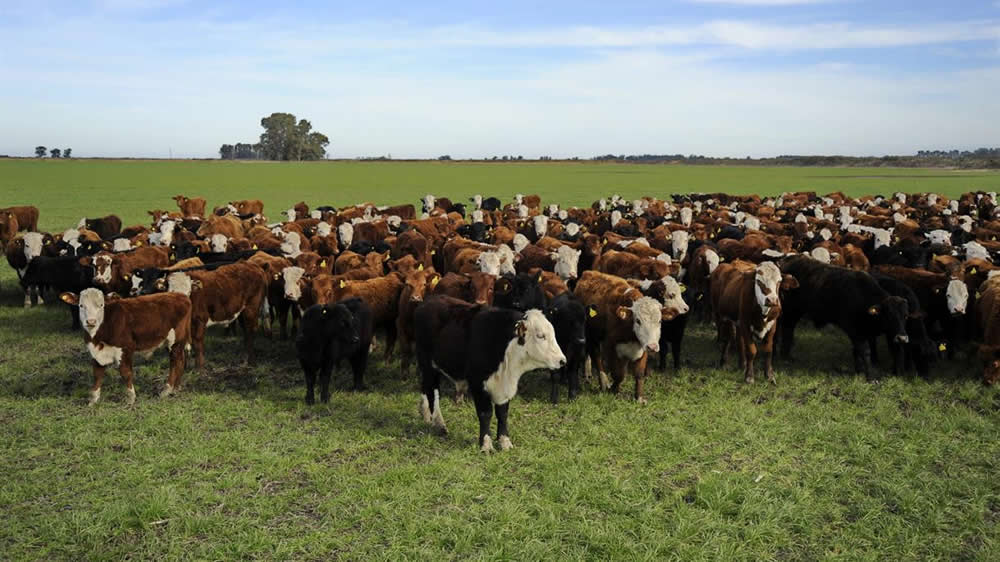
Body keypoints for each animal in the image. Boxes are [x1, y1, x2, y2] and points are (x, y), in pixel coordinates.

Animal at [59, 288, 192, 402]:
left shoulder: (125, 348)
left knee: (175, 362)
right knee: (181, 360)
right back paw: (176, 388)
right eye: (81, 306)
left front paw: (131, 398)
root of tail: (181, 296)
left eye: (101, 305)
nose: (91, 321)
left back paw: (167, 389)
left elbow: (125, 373)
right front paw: (93, 400)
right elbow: (97, 375)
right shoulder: (96, 353)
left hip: (175, 341)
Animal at [414, 294, 568, 450]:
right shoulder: (478, 383)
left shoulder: (504, 386)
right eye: (540, 336)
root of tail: (430, 300)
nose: (562, 360)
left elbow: (502, 414)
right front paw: (486, 444)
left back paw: (426, 415)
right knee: (433, 391)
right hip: (427, 364)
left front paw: (505, 442)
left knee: (426, 388)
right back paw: (438, 423)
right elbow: (485, 413)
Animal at [776, 255, 912, 380]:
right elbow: (865, 351)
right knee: (787, 328)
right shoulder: (855, 331)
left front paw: (859, 371)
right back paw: (784, 356)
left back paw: (786, 355)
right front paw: (871, 377)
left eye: (905, 316)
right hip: (790, 311)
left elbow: (857, 351)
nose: (902, 338)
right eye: (889, 315)